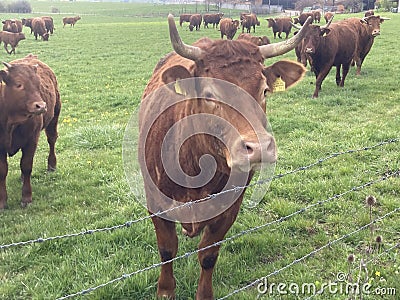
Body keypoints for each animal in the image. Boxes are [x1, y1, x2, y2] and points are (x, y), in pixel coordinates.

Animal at [0, 54, 61, 209]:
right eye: (18, 84)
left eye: (38, 84)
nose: (41, 106)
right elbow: (2, 171)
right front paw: (2, 201)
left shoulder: (32, 139)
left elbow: (26, 166)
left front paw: (26, 197)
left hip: (54, 116)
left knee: (52, 140)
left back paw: (52, 165)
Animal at [138, 14, 312, 300]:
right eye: (210, 94)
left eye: (265, 90)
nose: (259, 147)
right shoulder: (156, 202)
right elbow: (167, 249)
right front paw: (165, 290)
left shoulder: (230, 206)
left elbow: (208, 254)